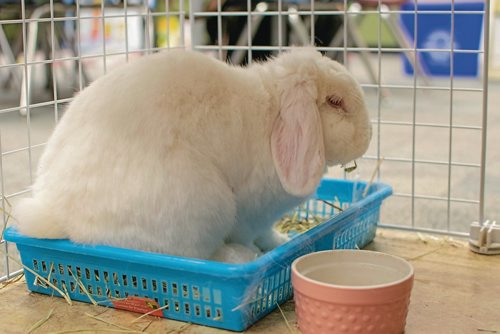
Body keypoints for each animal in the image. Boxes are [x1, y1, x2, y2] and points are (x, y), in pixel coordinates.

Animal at [13, 48, 372, 264]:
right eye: (336, 102)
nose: (368, 137)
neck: (272, 114)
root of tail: (58, 214)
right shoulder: (250, 214)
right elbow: (253, 233)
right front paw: (260, 248)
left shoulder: (261, 220)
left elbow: (269, 234)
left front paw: (281, 239)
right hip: (206, 206)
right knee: (200, 256)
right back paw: (240, 257)